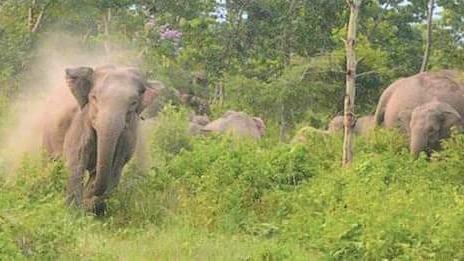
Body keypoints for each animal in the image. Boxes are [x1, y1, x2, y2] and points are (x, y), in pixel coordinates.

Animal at [42, 64, 161, 214]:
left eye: (133, 103)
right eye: (94, 98)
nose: (91, 191)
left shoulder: (127, 135)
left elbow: (116, 167)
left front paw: (91, 205)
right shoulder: (80, 123)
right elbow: (76, 161)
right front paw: (74, 212)